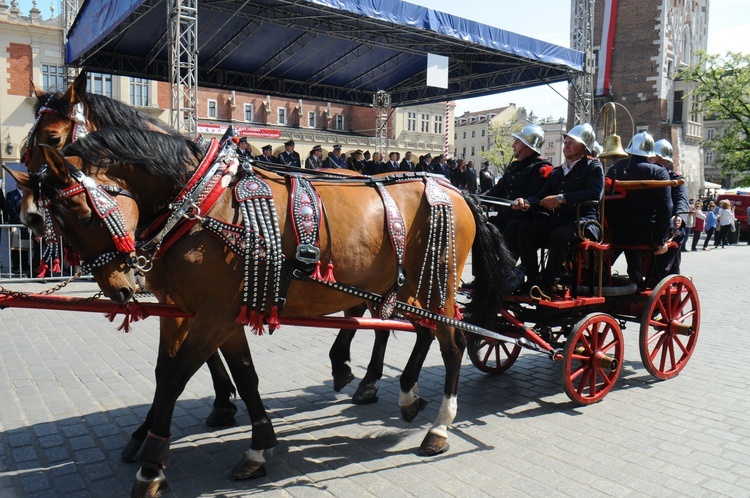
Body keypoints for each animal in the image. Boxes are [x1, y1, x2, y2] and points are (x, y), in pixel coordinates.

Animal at [14, 129, 516, 498]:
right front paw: (257, 445)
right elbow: (238, 374)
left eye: (82, 212)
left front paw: (152, 467)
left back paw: (440, 426)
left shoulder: (213, 315)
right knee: (423, 332)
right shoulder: (203, 311)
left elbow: (175, 378)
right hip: (410, 286)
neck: (204, 204)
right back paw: (404, 394)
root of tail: (454, 188)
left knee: (452, 342)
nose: (121, 286)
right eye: (60, 225)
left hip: (437, 284)